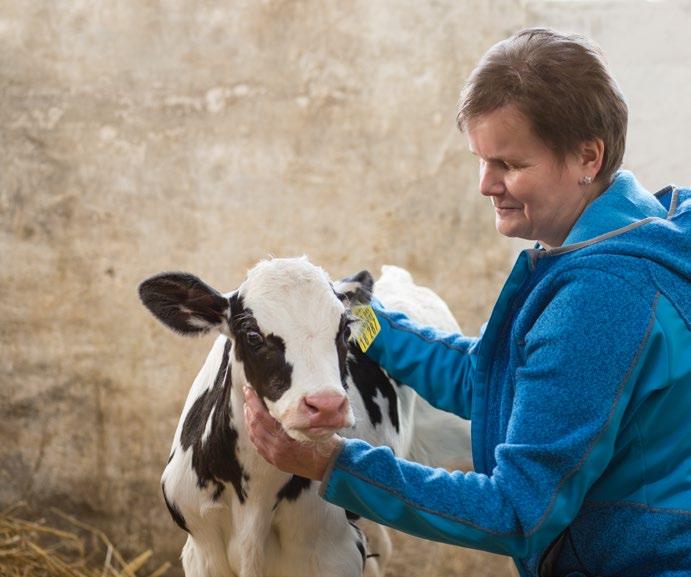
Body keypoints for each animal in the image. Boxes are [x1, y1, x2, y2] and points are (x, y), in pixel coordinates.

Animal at [139, 258, 464, 576]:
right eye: (252, 335)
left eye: (345, 330)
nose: (327, 405)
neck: (255, 499)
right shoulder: (203, 554)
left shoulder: (333, 554)